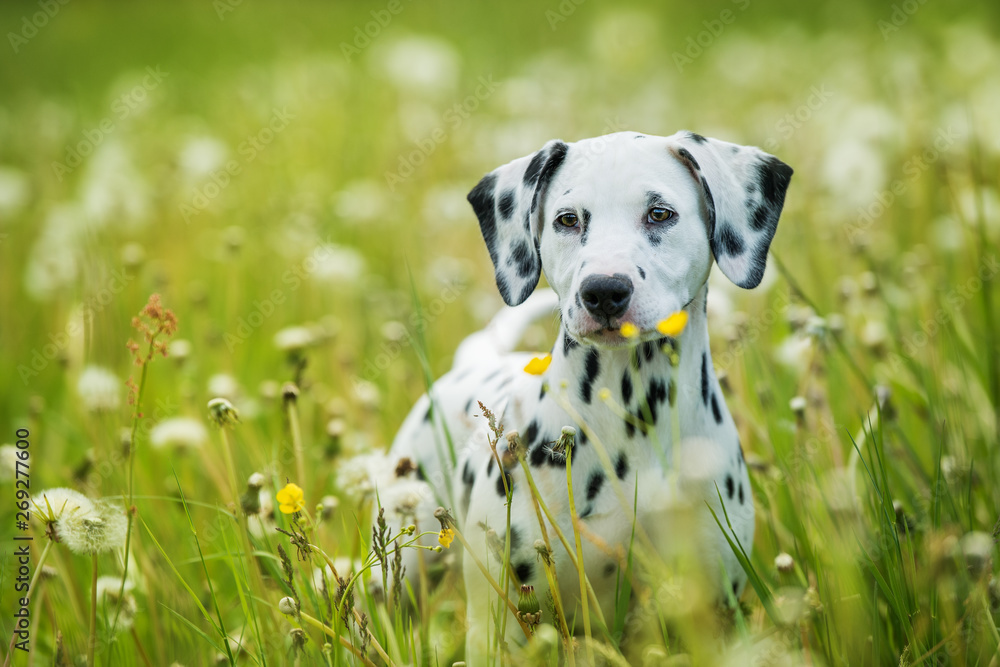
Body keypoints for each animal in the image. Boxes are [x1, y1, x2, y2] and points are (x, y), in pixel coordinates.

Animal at [360, 130, 788, 664]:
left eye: (660, 213)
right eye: (568, 219)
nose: (603, 291)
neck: (631, 422)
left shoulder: (713, 609)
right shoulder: (505, 624)